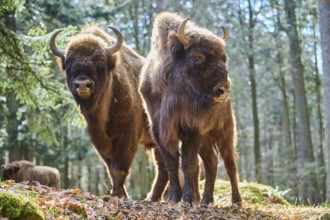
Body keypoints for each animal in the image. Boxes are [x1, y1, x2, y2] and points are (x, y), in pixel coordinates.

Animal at [49, 23, 165, 198]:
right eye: (68, 64)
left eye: (101, 62)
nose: (82, 84)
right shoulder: (99, 139)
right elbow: (110, 168)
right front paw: (117, 192)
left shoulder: (127, 137)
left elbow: (119, 168)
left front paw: (119, 194)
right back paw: (154, 198)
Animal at [139, 11, 242, 205]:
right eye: (197, 56)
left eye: (223, 59)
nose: (223, 89)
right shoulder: (159, 131)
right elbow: (171, 163)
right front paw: (174, 198)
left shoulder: (192, 128)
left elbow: (188, 163)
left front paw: (188, 199)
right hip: (206, 140)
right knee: (211, 163)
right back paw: (206, 200)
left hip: (224, 131)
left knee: (229, 162)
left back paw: (236, 200)